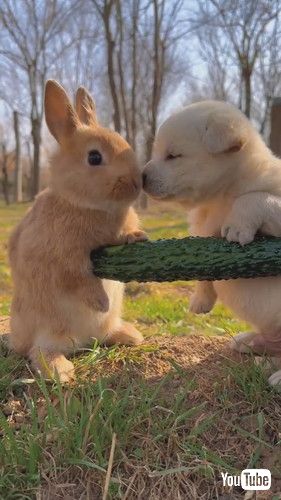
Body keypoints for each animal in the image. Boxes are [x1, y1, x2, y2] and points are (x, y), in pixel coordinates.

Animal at [8, 80, 147, 380]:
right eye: (94, 157)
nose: (136, 182)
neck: (86, 205)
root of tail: (83, 341)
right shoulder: (63, 258)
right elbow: (79, 278)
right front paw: (101, 302)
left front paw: (137, 237)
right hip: (48, 329)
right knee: (38, 352)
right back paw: (61, 372)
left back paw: (131, 336)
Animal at [142, 98, 281, 386]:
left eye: (173, 155)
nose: (141, 177)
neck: (220, 196)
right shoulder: (203, 237)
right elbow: (204, 272)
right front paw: (201, 300)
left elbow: (254, 198)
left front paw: (237, 226)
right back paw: (252, 343)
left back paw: (278, 375)